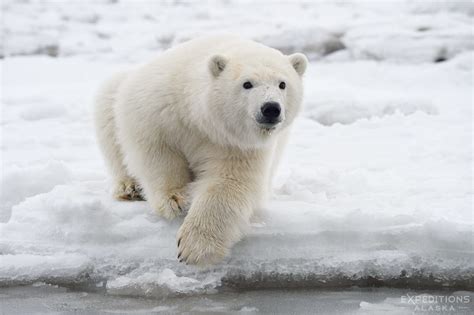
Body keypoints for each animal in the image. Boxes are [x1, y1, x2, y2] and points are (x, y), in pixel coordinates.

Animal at [95, 35, 308, 266]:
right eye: (247, 83)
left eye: (282, 84)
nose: (270, 108)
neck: (200, 119)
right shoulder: (159, 108)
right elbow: (155, 150)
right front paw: (175, 199)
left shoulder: (237, 144)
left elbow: (230, 183)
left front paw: (195, 247)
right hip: (116, 91)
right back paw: (129, 188)